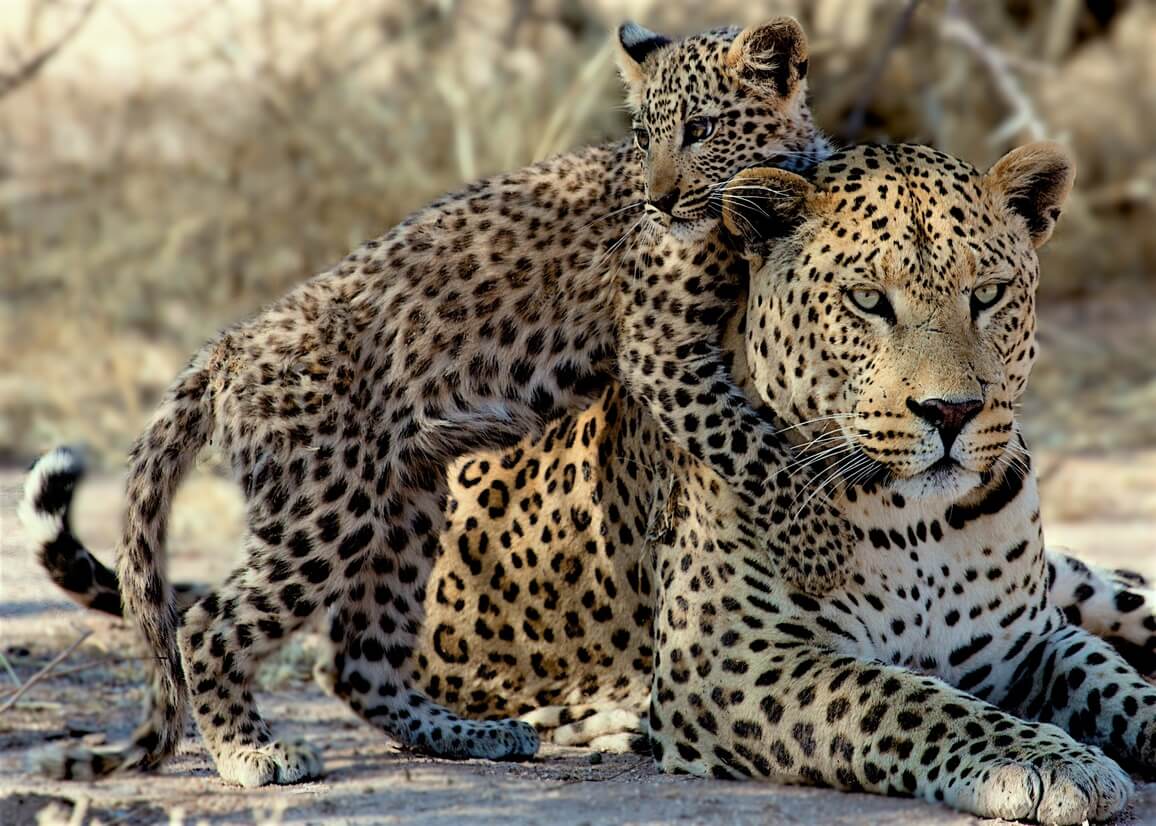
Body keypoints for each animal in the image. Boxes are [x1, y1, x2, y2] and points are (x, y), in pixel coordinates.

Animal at [15, 17, 858, 788]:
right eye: (645, 135)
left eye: (702, 128)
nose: (660, 200)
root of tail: (229, 346)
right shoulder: (662, 350)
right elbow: (751, 440)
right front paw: (821, 545)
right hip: (324, 507)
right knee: (210, 623)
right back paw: (251, 753)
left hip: (407, 509)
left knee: (355, 657)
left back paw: (472, 734)